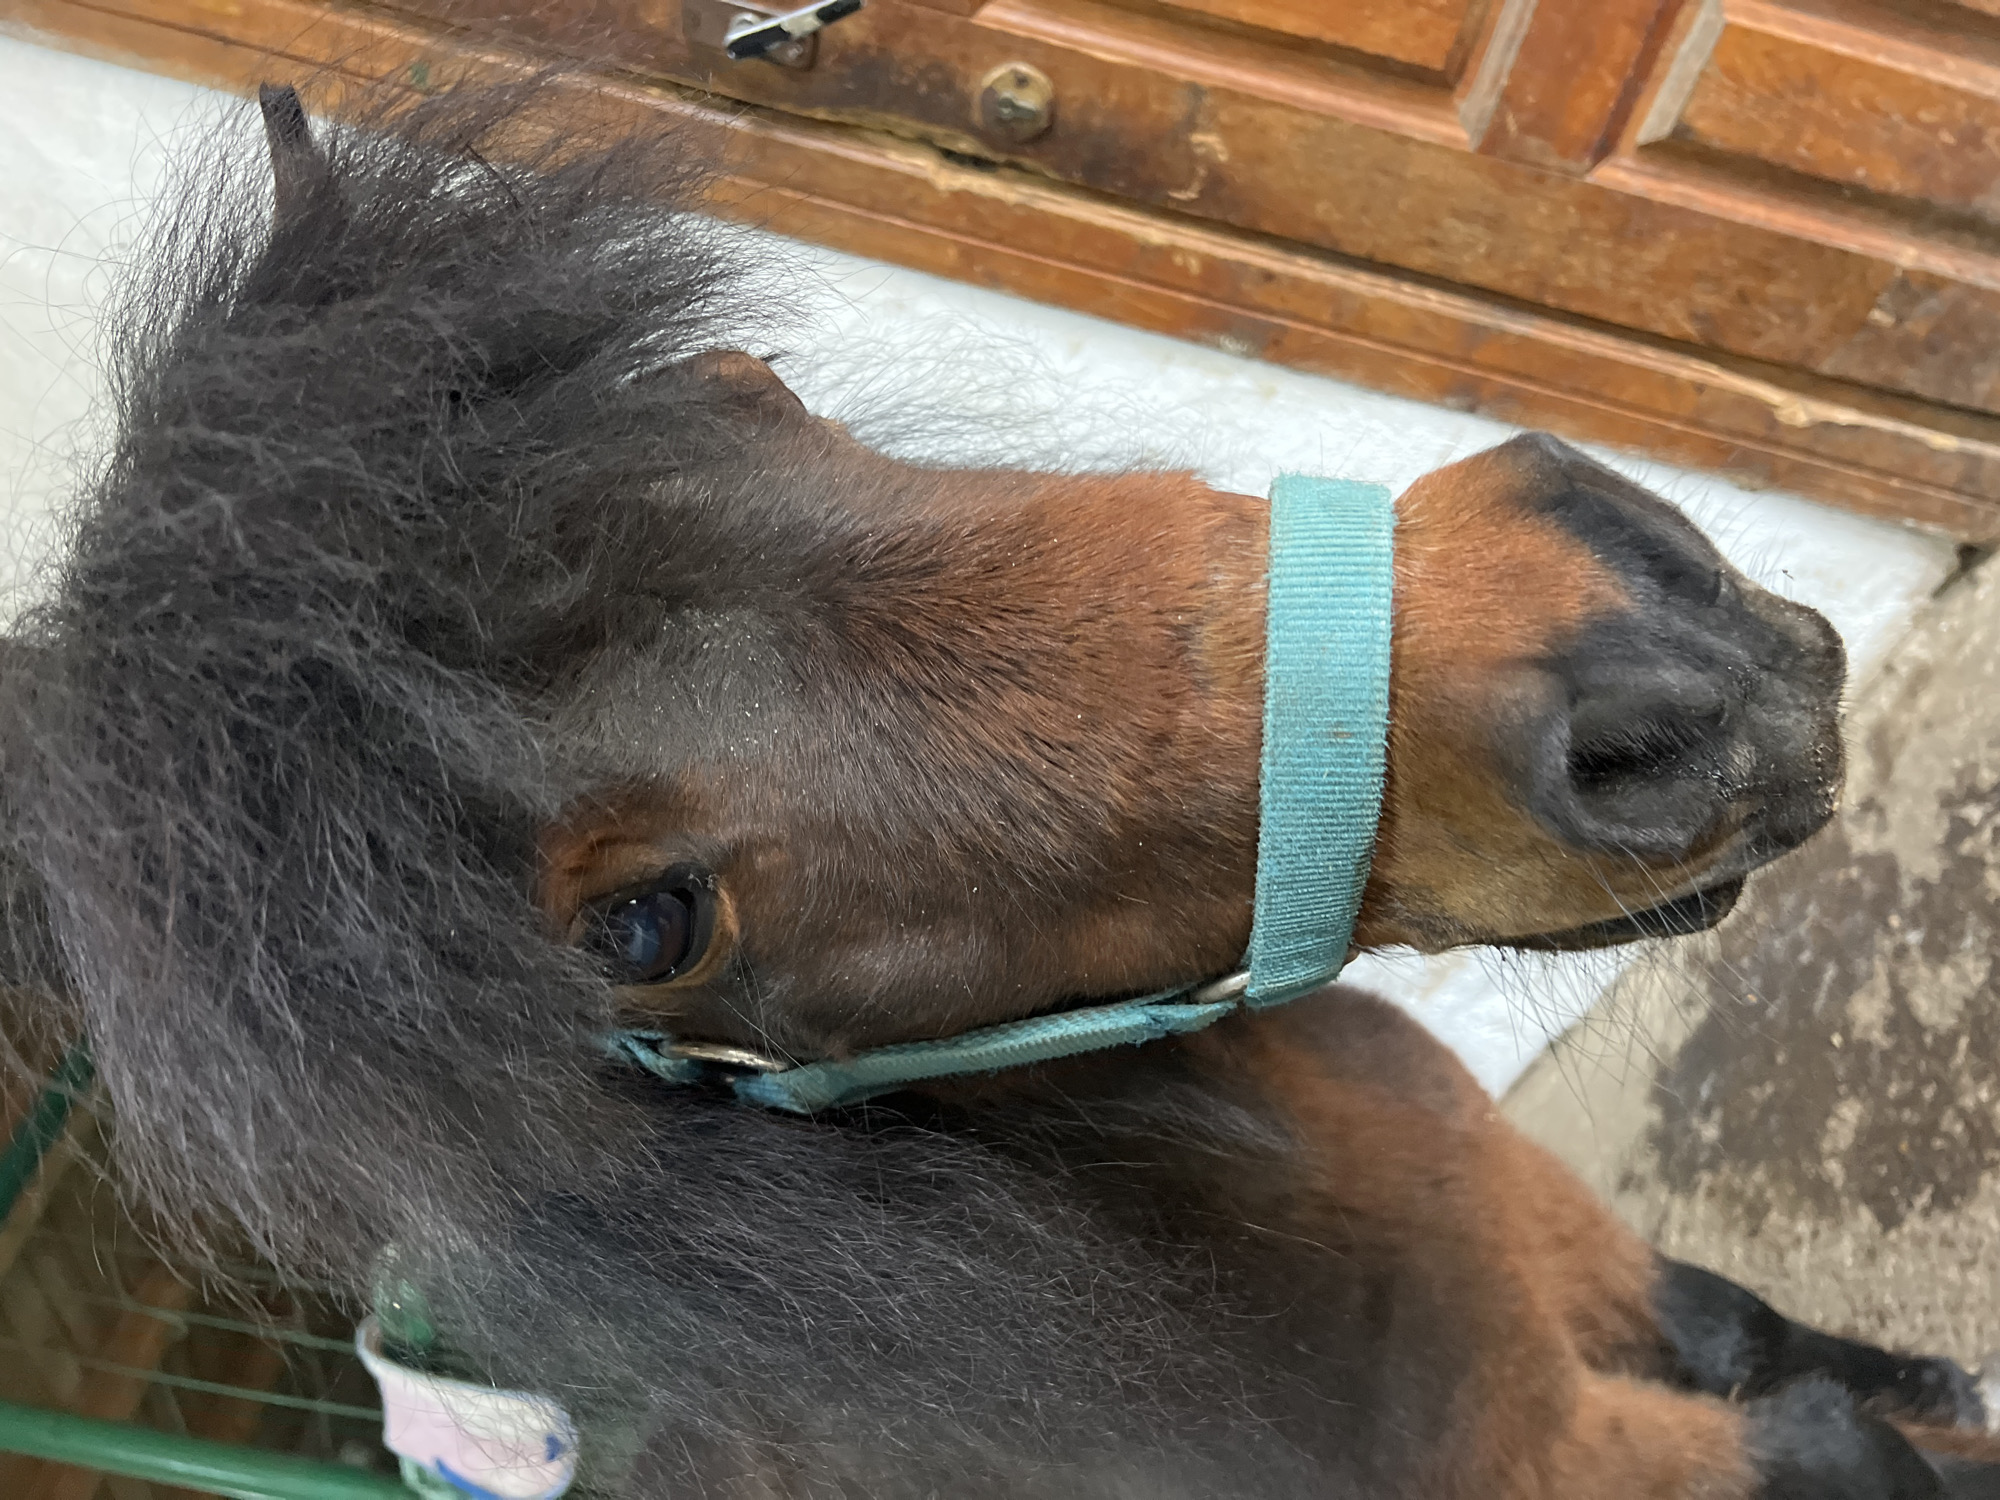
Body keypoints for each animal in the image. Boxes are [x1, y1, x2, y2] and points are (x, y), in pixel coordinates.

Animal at [0, 76, 1988, 1498]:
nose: (1664, 661)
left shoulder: (1565, 1237)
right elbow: (1837, 1440)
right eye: (646, 926)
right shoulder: (1592, 1456)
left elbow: (1763, 1335)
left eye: (738, 383)